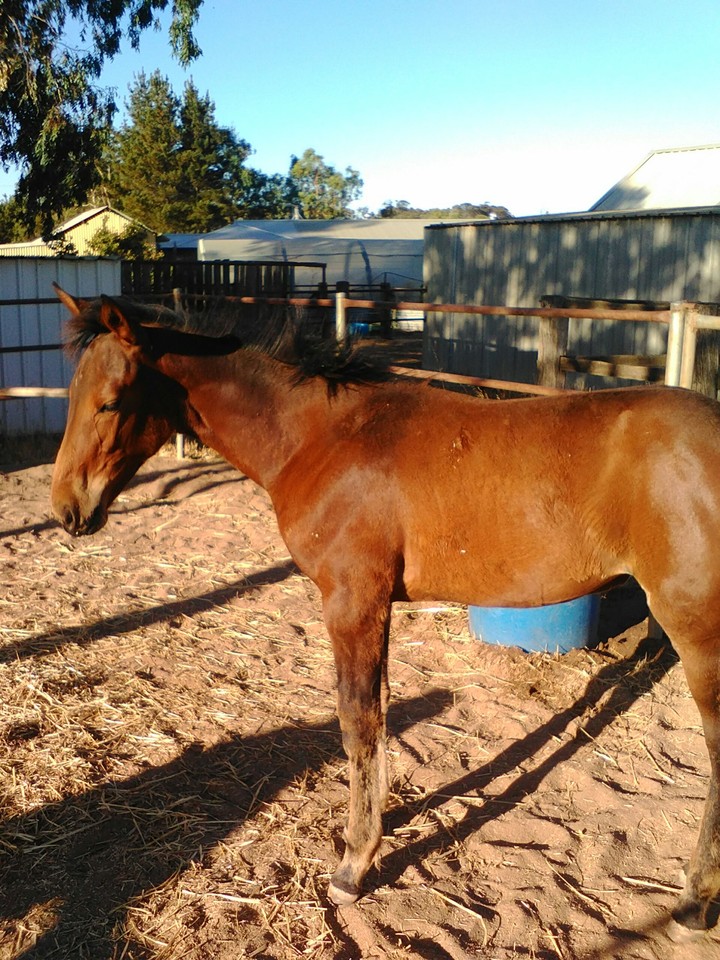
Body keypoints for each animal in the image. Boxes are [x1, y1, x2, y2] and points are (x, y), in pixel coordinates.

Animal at [49, 284, 720, 929]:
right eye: (73, 394)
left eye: (110, 402)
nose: (66, 510)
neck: (322, 436)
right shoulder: (375, 606)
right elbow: (379, 715)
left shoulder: (352, 600)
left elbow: (358, 722)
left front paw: (354, 862)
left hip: (698, 627)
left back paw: (693, 899)